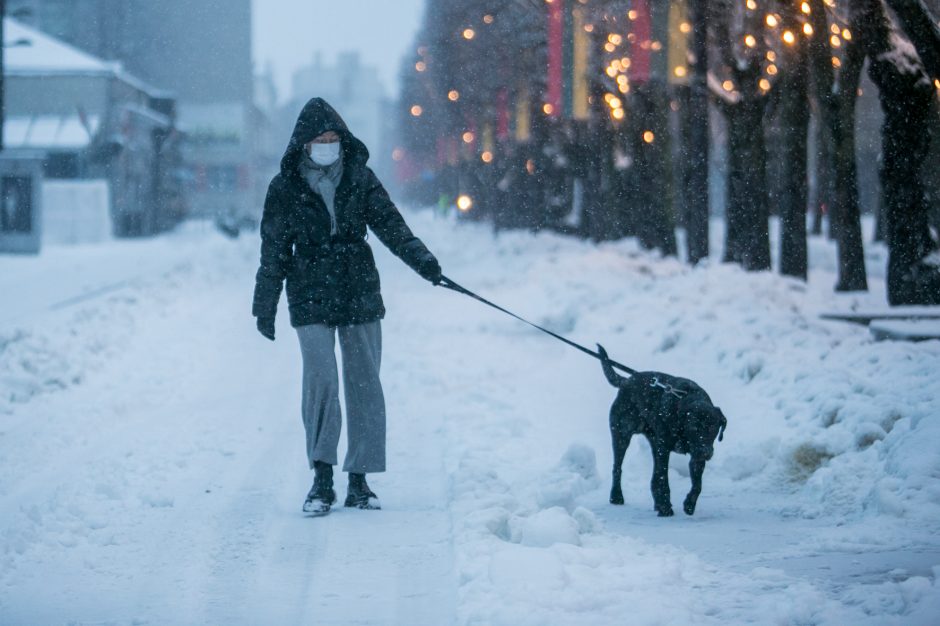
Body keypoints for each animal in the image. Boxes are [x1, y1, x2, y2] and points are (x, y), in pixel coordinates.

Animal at [596, 344, 728, 516]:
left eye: (713, 427)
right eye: (693, 427)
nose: (706, 452)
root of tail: (626, 381)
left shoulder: (695, 455)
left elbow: (697, 485)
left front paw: (689, 504)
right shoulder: (664, 448)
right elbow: (663, 478)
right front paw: (665, 507)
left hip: (652, 441)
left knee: (653, 477)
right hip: (622, 434)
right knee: (618, 467)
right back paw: (616, 496)